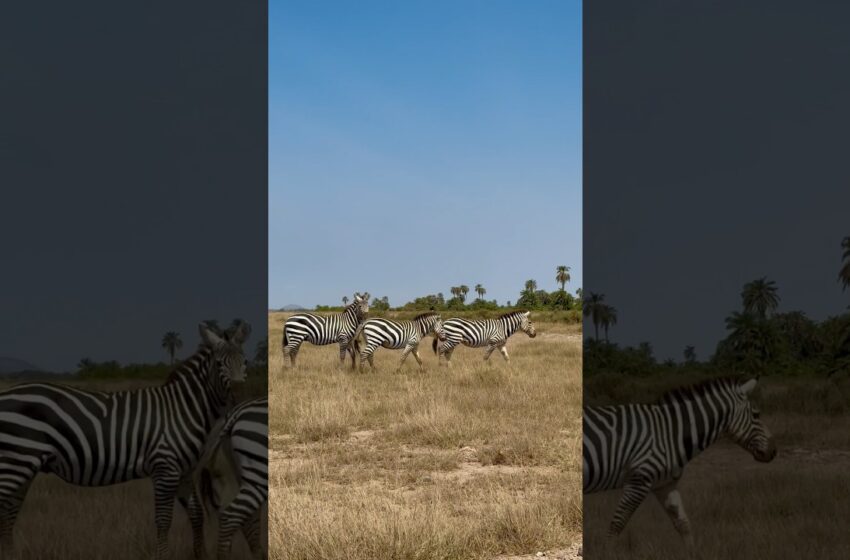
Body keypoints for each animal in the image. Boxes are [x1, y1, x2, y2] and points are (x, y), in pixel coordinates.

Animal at [0, 321, 251, 560]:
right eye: (219, 365)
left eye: (245, 363)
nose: (239, 395)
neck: (183, 409)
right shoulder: (165, 467)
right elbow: (163, 521)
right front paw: (162, 557)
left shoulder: (185, 472)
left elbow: (196, 514)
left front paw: (201, 555)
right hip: (16, 461)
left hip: (23, 464)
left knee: (10, 512)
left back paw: (10, 555)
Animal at [582, 376, 777, 558]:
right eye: (757, 415)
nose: (774, 452)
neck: (669, 432)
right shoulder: (639, 480)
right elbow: (617, 523)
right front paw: (606, 554)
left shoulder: (665, 484)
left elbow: (683, 523)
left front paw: (693, 555)